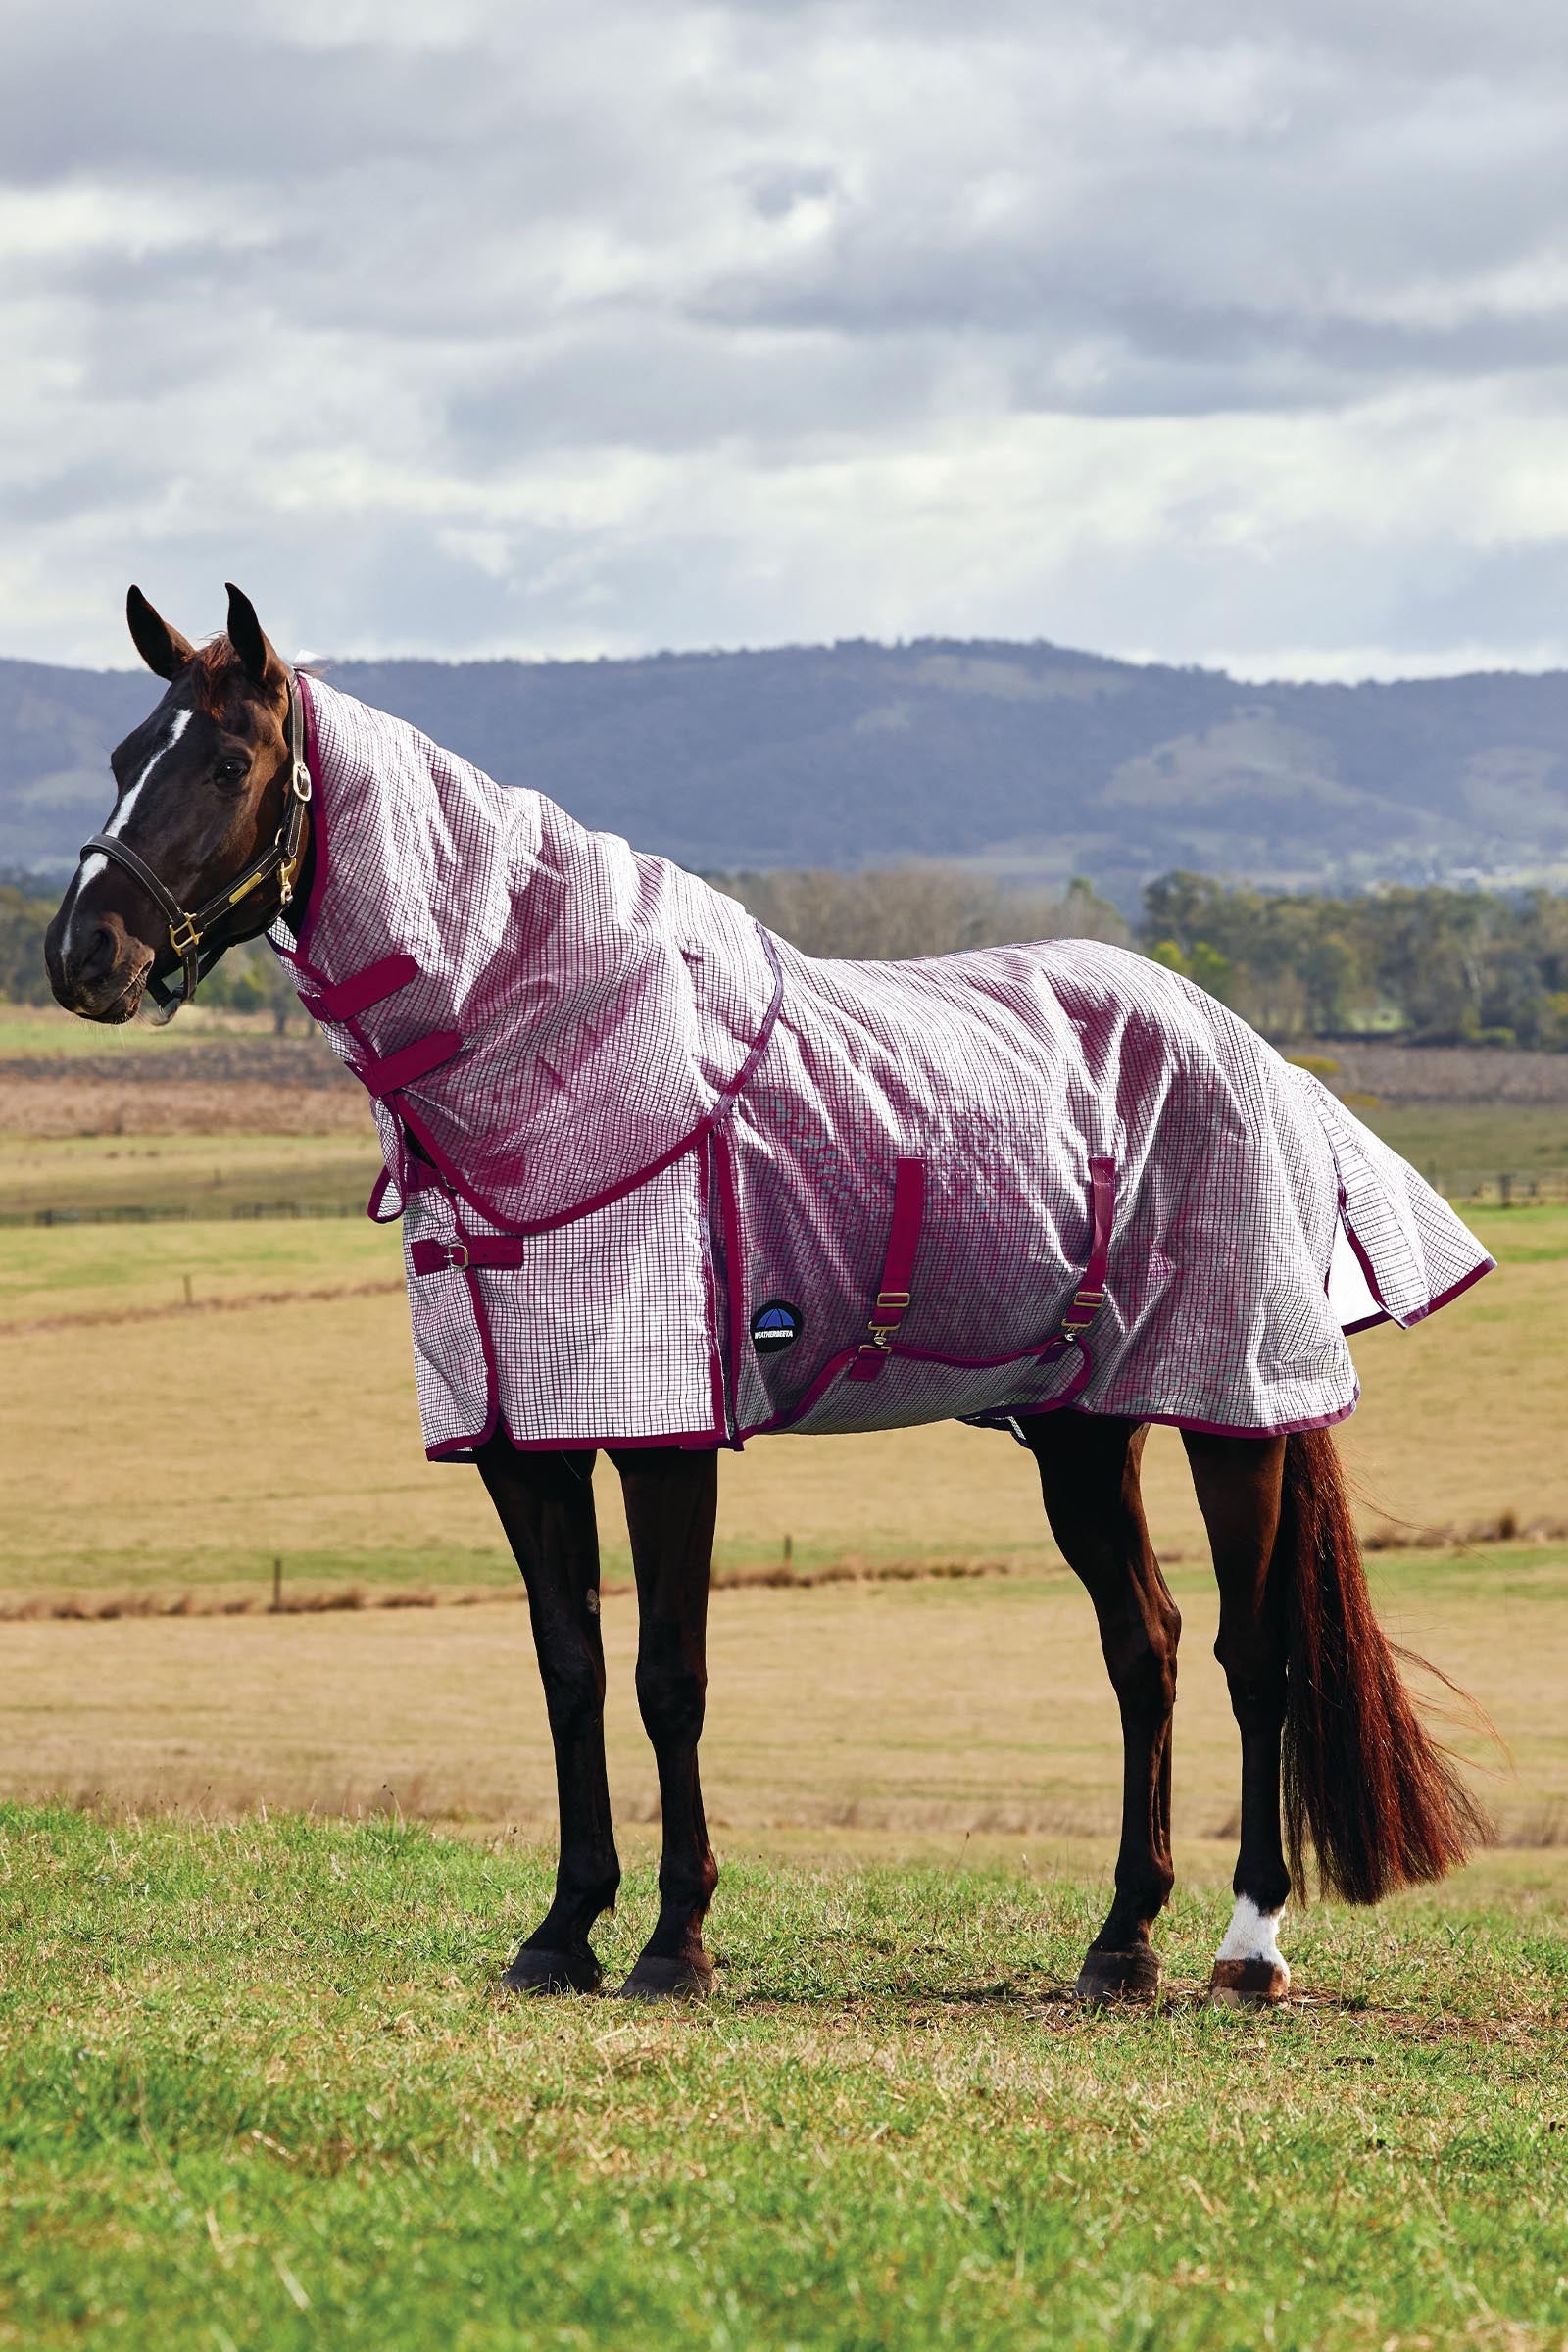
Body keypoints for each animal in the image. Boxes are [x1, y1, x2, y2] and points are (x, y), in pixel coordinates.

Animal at [45, 584, 1492, 2007]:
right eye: (121, 756)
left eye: (228, 762)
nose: (81, 956)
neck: (567, 1056)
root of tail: (1258, 1057)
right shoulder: (521, 1442)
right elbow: (570, 1671)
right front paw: (562, 1930)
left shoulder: (668, 1434)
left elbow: (667, 1677)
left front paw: (673, 1942)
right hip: (1083, 1429)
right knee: (1147, 1646)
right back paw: (1121, 1941)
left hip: (1232, 1408)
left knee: (1255, 1656)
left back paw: (1248, 1948)